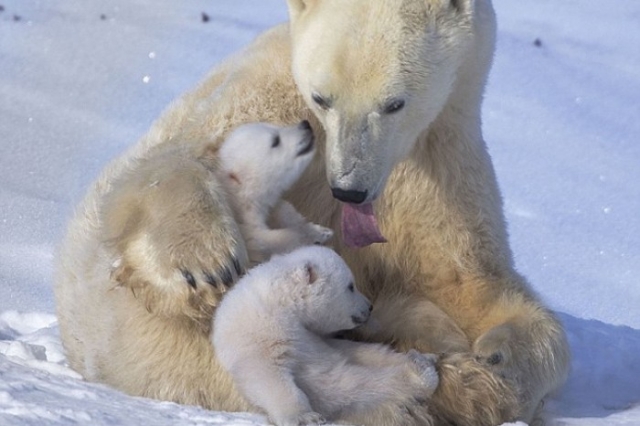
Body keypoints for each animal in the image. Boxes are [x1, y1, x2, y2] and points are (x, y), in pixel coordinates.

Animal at [212, 246, 438, 426]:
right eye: (351, 286)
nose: (369, 306)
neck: (281, 305)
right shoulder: (260, 336)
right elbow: (270, 375)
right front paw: (305, 417)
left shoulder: (312, 337)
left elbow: (352, 352)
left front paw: (419, 357)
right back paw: (421, 373)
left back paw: (422, 358)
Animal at [218, 120, 332, 266]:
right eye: (275, 140)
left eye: (275, 126)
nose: (305, 124)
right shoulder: (245, 233)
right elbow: (268, 240)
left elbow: (283, 211)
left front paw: (320, 231)